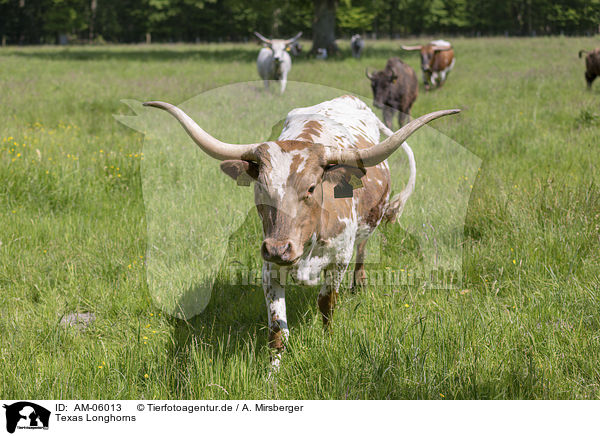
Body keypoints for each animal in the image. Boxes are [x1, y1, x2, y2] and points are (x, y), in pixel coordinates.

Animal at [142, 94, 460, 368]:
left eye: (310, 188)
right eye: (261, 189)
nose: (278, 248)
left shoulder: (338, 261)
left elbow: (327, 305)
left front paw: (328, 341)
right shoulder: (269, 268)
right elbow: (277, 330)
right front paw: (272, 371)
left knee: (363, 247)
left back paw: (359, 283)